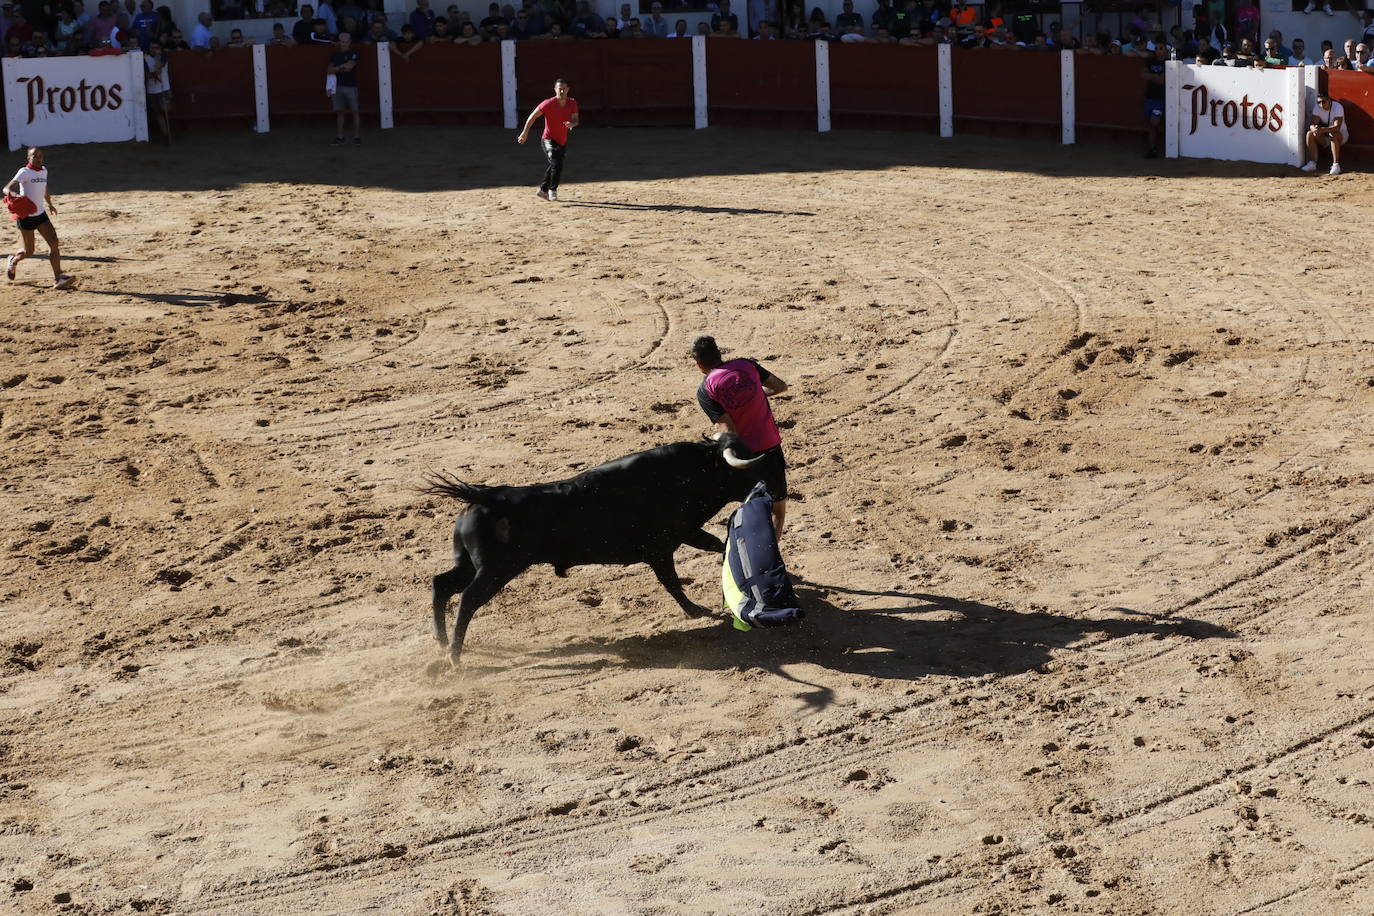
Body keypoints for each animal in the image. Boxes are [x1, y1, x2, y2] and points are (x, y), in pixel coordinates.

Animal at [425, 436, 769, 667]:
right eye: (745, 466)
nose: (770, 485)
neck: (690, 472)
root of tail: (484, 496)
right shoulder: (661, 547)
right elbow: (672, 580)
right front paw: (696, 610)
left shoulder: (684, 535)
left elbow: (714, 547)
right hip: (496, 570)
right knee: (467, 598)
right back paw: (455, 657)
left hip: (470, 565)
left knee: (441, 584)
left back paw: (442, 643)